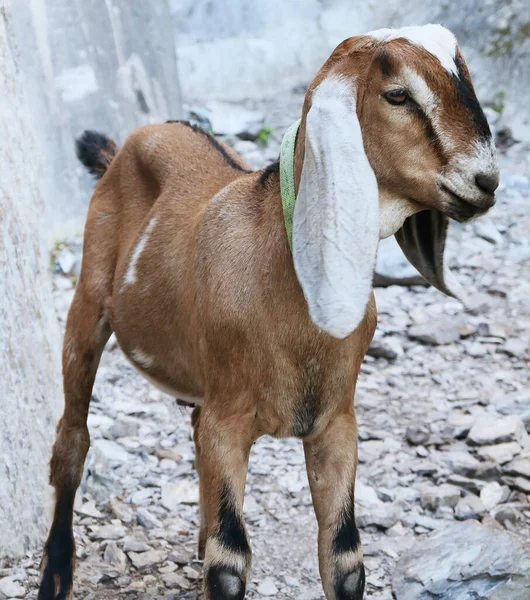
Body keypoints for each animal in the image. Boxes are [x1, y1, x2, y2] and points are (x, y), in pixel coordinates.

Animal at [39, 24, 498, 600]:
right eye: (398, 95)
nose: (487, 181)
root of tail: (129, 143)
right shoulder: (228, 420)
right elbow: (229, 561)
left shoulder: (335, 422)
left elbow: (344, 557)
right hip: (87, 306)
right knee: (72, 440)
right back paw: (56, 571)